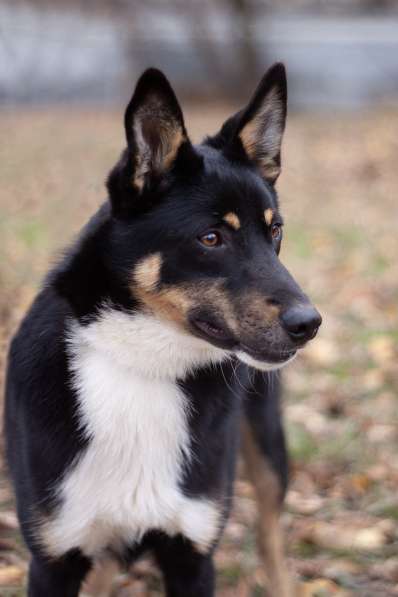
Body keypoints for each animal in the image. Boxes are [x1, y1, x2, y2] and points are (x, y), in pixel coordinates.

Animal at [3, 65, 320, 596]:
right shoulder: (53, 558)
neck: (143, 363)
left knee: (270, 535)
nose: (309, 324)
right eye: (211, 237)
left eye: (275, 231)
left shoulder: (192, 554)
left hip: (267, 444)